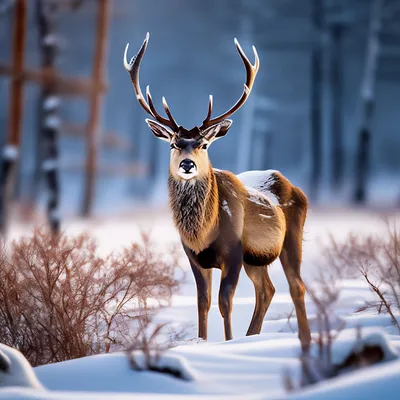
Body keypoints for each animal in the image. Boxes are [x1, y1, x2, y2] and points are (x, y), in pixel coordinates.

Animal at [123, 33, 310, 346]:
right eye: (173, 143)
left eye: (204, 144)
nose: (187, 164)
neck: (203, 233)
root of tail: (297, 189)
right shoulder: (193, 256)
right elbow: (203, 302)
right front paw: (202, 340)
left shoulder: (233, 251)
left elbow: (225, 302)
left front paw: (228, 342)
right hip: (255, 259)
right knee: (267, 289)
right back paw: (253, 335)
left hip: (291, 238)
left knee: (296, 286)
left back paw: (305, 339)